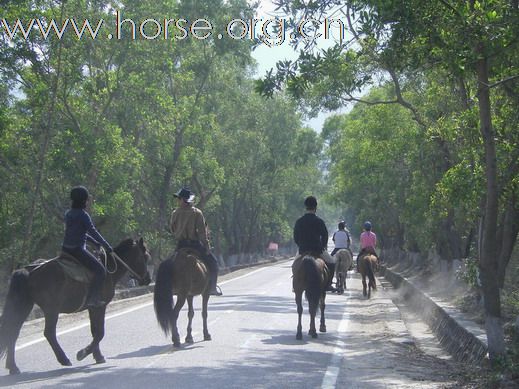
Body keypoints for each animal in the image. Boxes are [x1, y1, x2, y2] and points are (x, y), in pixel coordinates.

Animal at [0, 236, 153, 372]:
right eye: (145, 256)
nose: (148, 279)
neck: (108, 269)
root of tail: (28, 271)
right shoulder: (100, 307)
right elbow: (100, 332)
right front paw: (83, 353)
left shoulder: (92, 308)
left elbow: (94, 331)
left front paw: (97, 356)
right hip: (51, 309)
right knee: (49, 333)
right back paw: (64, 359)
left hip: (24, 306)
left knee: (12, 333)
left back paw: (13, 367)